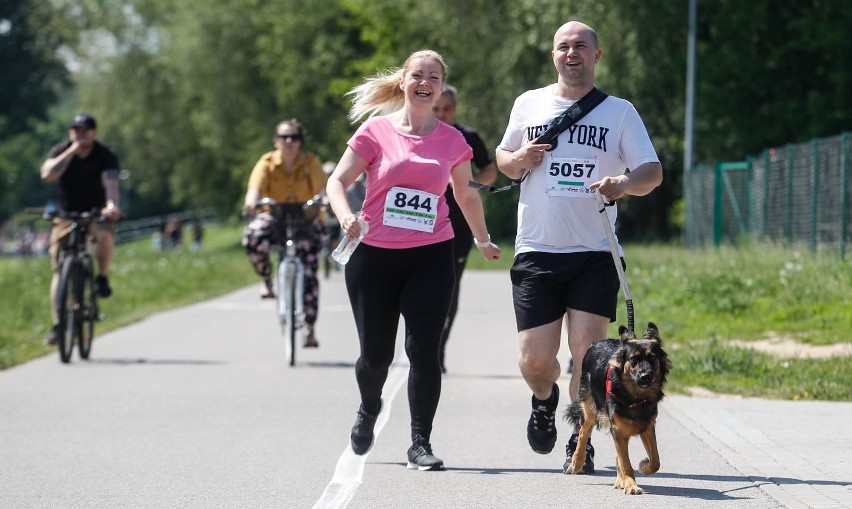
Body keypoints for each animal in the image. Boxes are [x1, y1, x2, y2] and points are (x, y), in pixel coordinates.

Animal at [564, 322, 672, 492]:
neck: (635, 398)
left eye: (652, 358)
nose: (645, 376)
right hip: (590, 409)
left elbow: (655, 461)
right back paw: (577, 462)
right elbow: (625, 462)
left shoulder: (647, 428)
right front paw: (631, 485)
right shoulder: (618, 430)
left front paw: (643, 467)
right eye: (633, 359)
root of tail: (596, 344)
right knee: (583, 431)